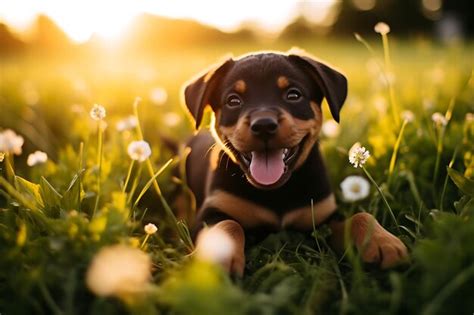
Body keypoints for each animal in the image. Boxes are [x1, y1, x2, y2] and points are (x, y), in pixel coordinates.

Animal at [181, 50, 408, 276]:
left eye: (293, 95)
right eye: (233, 100)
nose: (264, 125)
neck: (276, 192)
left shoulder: (323, 215)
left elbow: (360, 216)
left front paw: (383, 243)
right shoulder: (210, 212)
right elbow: (228, 225)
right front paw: (219, 255)